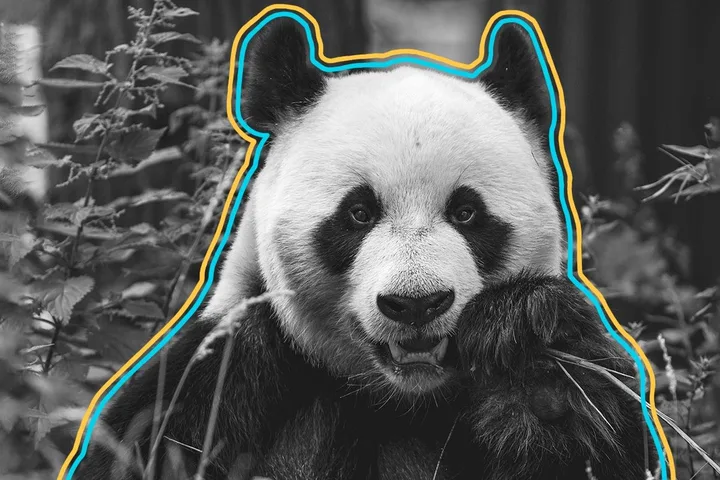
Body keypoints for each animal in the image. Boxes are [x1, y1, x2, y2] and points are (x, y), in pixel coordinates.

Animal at [76, 17, 656, 480]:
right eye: (359, 213)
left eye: (466, 212)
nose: (416, 304)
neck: (400, 398)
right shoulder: (215, 379)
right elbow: (150, 441)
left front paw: (530, 359)